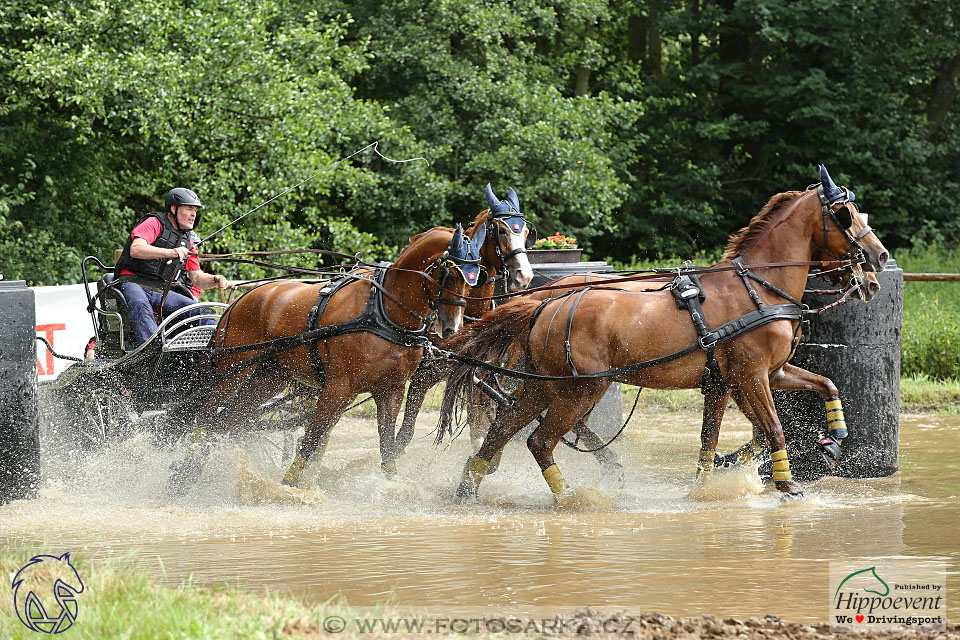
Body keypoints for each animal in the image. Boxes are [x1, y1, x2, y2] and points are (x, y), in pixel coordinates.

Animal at [438, 166, 888, 504]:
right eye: (845, 213)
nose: (878, 259)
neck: (757, 288)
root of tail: (546, 305)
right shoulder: (752, 376)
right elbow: (772, 429)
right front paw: (787, 483)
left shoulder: (747, 378)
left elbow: (814, 392)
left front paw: (832, 440)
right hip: (580, 391)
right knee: (540, 441)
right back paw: (572, 498)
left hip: (543, 387)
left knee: (500, 432)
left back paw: (467, 488)